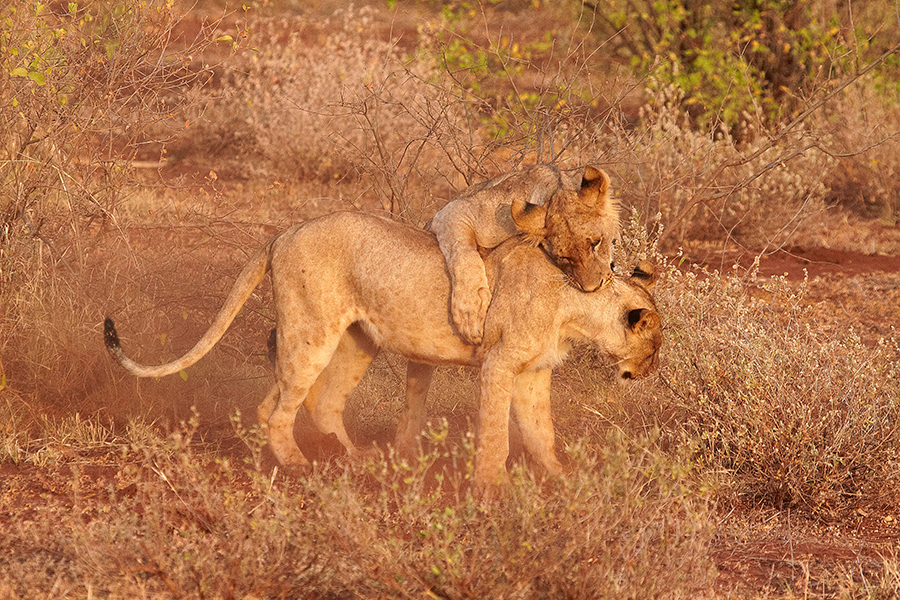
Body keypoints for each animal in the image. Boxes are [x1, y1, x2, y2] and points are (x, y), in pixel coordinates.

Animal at [103, 211, 660, 488]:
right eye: (655, 346)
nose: (649, 373)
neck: (577, 303)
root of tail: (282, 233)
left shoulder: (531, 374)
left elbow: (542, 433)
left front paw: (563, 478)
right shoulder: (499, 366)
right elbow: (496, 436)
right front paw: (491, 489)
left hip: (357, 341)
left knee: (316, 403)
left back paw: (359, 461)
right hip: (312, 330)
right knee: (278, 407)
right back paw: (299, 466)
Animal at [428, 164, 620, 344]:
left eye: (596, 243)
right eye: (563, 257)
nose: (592, 288)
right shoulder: (455, 210)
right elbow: (464, 254)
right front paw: (470, 312)